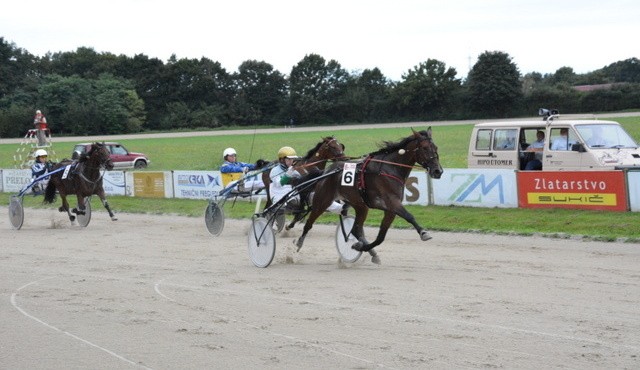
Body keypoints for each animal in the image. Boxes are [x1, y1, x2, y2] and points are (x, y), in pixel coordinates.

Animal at [294, 129, 440, 262]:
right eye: (425, 148)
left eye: (436, 148)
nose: (438, 171)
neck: (390, 168)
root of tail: (326, 171)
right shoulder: (392, 202)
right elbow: (409, 216)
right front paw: (424, 233)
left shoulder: (390, 210)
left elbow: (381, 237)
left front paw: (361, 247)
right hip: (322, 201)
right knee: (309, 223)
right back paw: (298, 243)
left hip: (360, 206)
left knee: (355, 230)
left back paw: (367, 249)